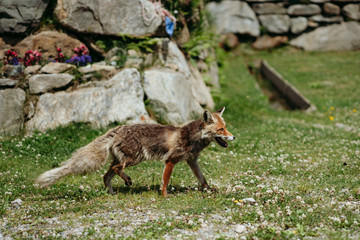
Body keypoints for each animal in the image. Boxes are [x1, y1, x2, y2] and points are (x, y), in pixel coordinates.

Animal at [35, 107, 235, 197]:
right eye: (221, 130)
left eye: (225, 127)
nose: (233, 137)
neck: (192, 138)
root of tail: (116, 129)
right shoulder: (170, 160)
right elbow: (165, 181)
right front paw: (165, 196)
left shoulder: (192, 160)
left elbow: (202, 179)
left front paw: (209, 190)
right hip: (134, 158)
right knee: (116, 170)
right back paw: (128, 181)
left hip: (122, 159)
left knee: (107, 175)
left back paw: (111, 192)